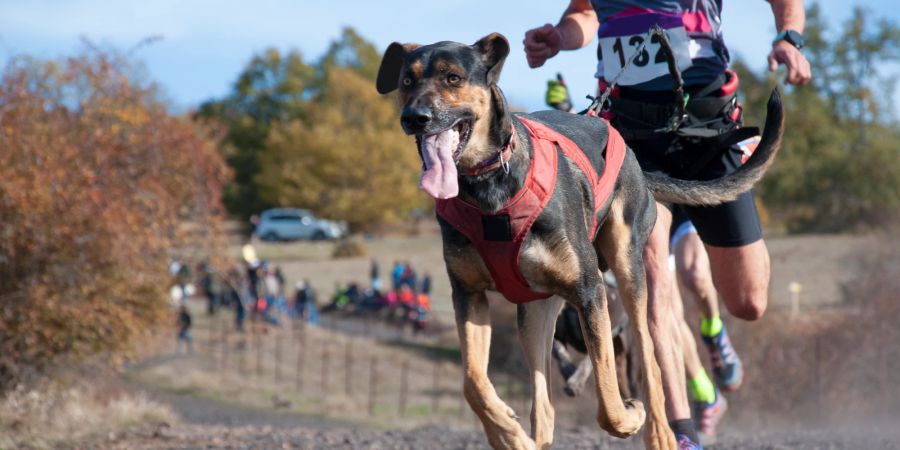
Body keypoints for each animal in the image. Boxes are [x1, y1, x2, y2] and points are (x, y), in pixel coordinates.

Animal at [372, 32, 780, 450]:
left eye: (452, 78)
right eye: (407, 81)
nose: (414, 117)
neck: (487, 186)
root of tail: (634, 155)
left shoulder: (589, 291)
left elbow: (609, 400)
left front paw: (629, 417)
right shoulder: (468, 294)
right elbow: (473, 382)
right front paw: (507, 432)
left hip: (629, 272)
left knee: (651, 361)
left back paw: (662, 433)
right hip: (536, 308)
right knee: (544, 404)